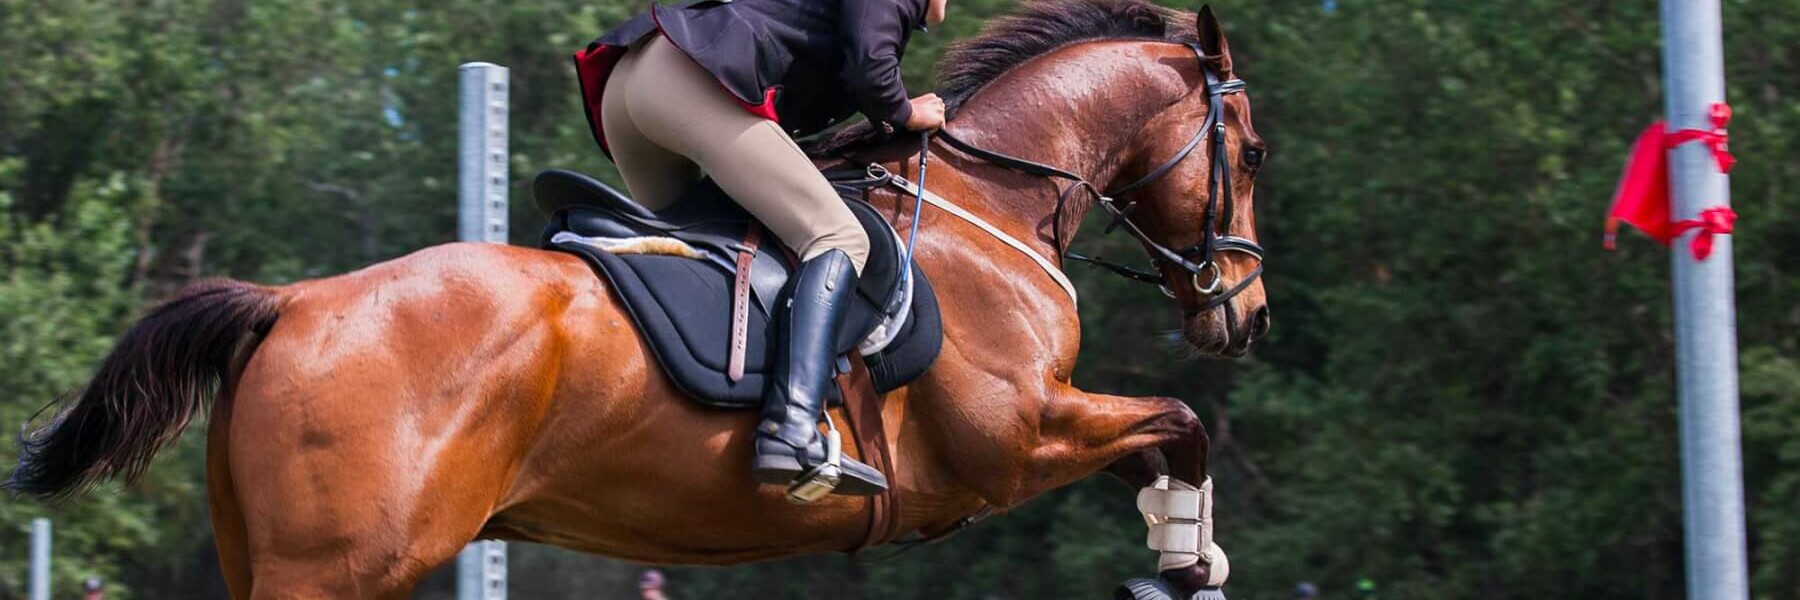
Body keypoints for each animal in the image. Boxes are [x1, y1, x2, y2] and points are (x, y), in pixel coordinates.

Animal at [7, 2, 1267, 594]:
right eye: (1249, 151)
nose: (1242, 314)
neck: (985, 205)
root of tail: (293, 303)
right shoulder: (1011, 439)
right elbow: (1178, 424)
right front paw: (1187, 558)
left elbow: (1168, 431)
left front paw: (1185, 553)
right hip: (336, 568)